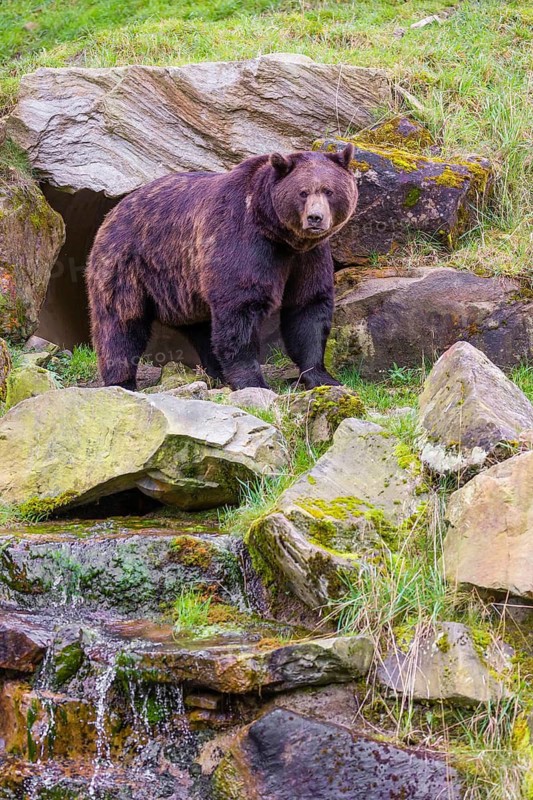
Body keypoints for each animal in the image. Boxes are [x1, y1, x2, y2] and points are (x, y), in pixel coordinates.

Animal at [86, 144, 357, 391]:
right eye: (302, 192)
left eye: (329, 191)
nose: (315, 218)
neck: (279, 235)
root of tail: (113, 211)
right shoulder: (244, 241)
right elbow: (240, 308)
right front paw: (253, 381)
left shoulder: (308, 257)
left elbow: (308, 307)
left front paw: (322, 377)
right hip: (129, 263)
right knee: (120, 321)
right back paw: (122, 380)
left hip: (185, 289)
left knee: (201, 328)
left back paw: (216, 371)